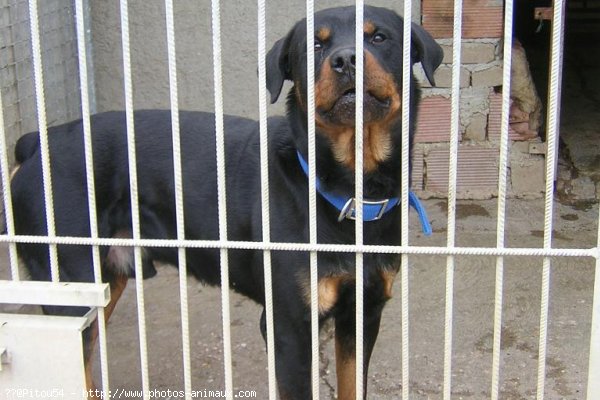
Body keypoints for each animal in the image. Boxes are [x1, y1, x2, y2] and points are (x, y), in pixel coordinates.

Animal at [9, 3, 440, 400]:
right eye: (315, 46)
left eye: (379, 37)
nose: (346, 59)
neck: (347, 188)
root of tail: (36, 143)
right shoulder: (289, 327)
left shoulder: (363, 315)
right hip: (72, 287)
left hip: (104, 281)